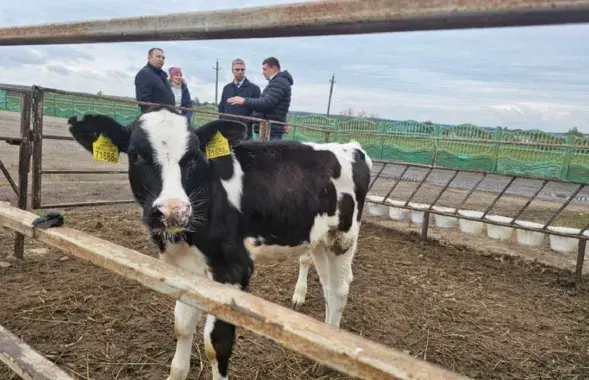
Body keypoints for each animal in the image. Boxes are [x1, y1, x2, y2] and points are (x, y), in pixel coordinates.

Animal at [68, 107, 372, 380]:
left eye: (194, 157)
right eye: (135, 155)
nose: (173, 211)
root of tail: (352, 146)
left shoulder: (233, 270)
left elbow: (216, 345)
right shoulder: (184, 269)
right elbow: (181, 326)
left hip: (342, 238)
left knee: (339, 290)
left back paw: (326, 362)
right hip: (318, 240)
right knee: (327, 285)